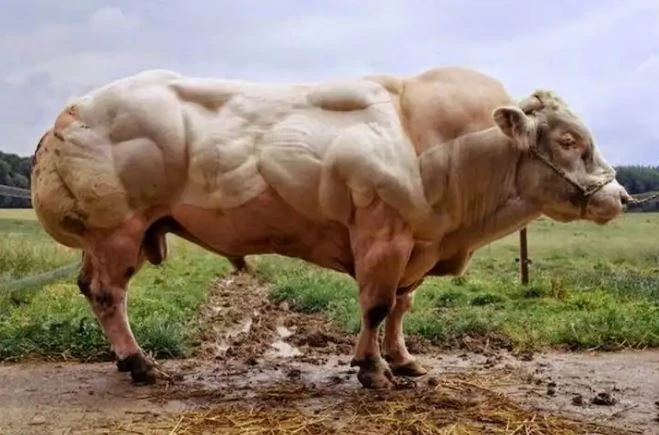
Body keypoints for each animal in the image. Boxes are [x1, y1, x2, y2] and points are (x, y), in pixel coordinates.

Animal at [30, 66, 630, 390]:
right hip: (117, 230)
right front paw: (371, 369)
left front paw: (403, 361)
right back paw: (140, 364)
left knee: (92, 289)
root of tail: (72, 110)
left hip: (116, 237)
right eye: (570, 140)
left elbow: (401, 308)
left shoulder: (415, 245)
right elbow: (376, 306)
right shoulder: (383, 237)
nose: (620, 197)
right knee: (108, 296)